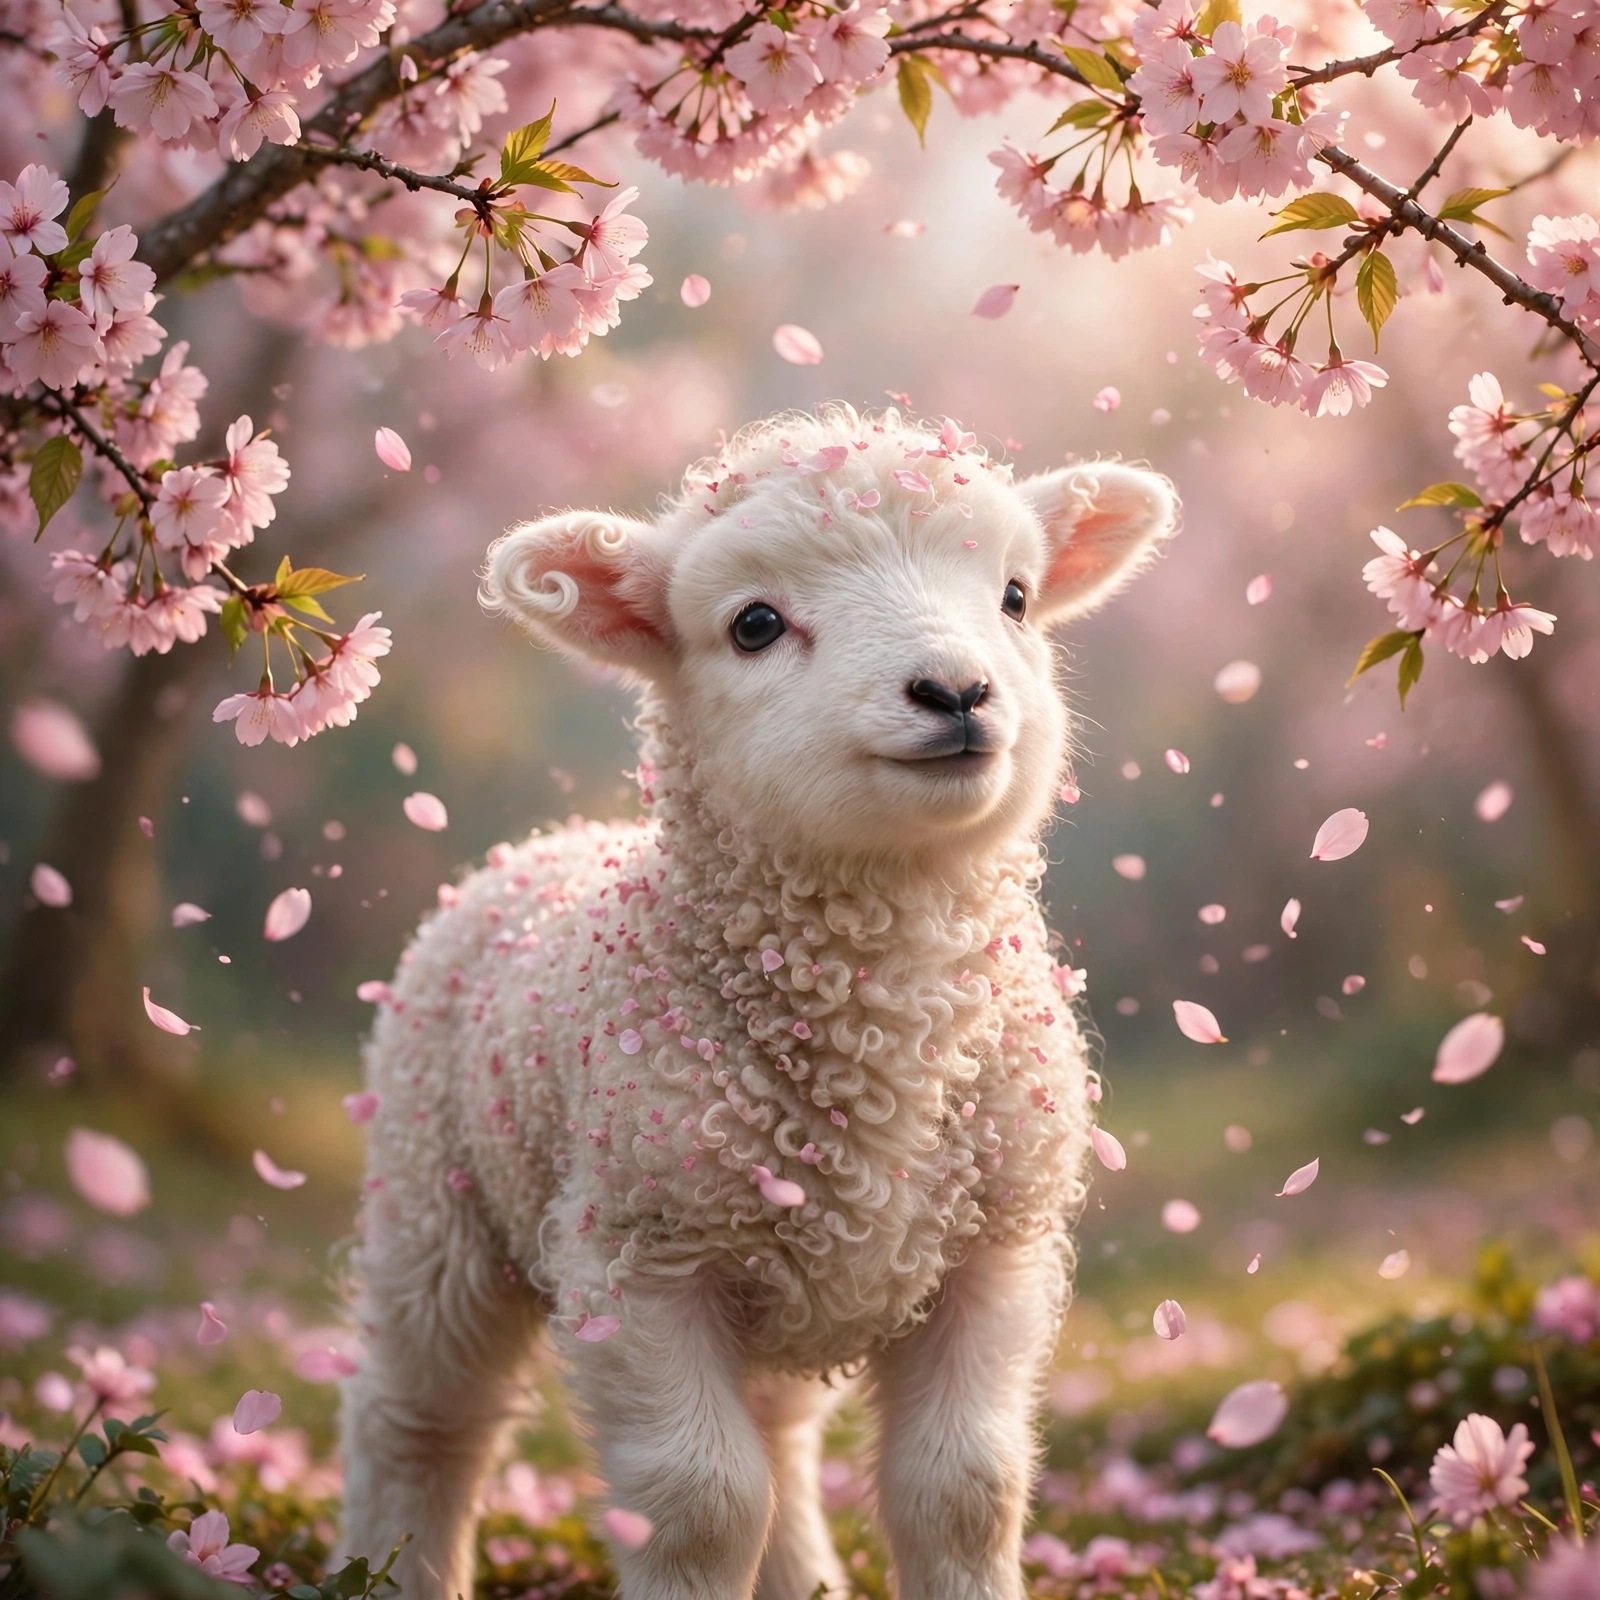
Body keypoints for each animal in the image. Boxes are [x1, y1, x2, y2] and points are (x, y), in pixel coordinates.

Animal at [338, 405, 1177, 1600]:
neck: (879, 1030)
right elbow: (700, 1505)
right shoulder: (640, 1256)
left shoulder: (993, 1249)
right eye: (755, 625)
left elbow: (963, 1492)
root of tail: (542, 843)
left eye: (1016, 597)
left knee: (780, 1442)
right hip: (432, 1201)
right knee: (416, 1420)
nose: (956, 692)